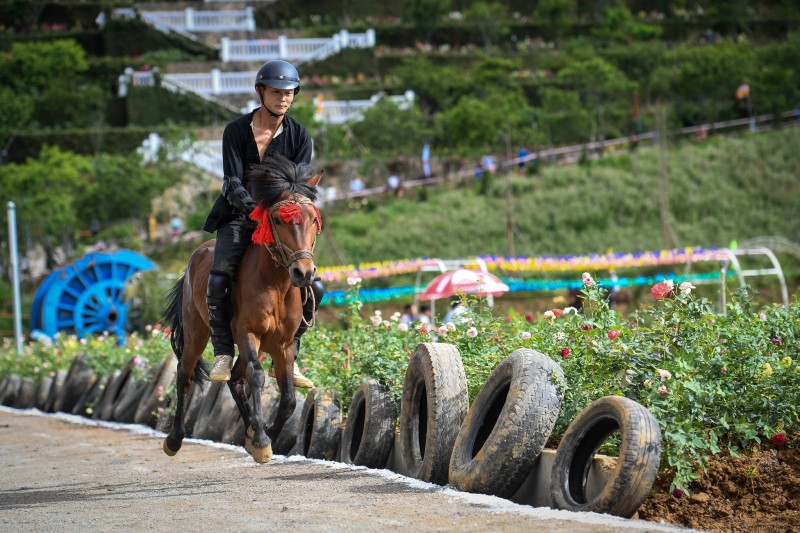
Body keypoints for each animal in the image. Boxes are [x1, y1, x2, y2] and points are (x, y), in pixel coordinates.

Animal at [161, 154, 324, 462]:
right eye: (277, 220)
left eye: (313, 219)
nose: (303, 272)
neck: (276, 283)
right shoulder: (247, 332)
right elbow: (257, 378)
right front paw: (260, 439)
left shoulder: (283, 344)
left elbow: (288, 398)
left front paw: (263, 436)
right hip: (197, 332)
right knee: (185, 373)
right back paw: (174, 439)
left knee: (235, 380)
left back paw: (248, 431)